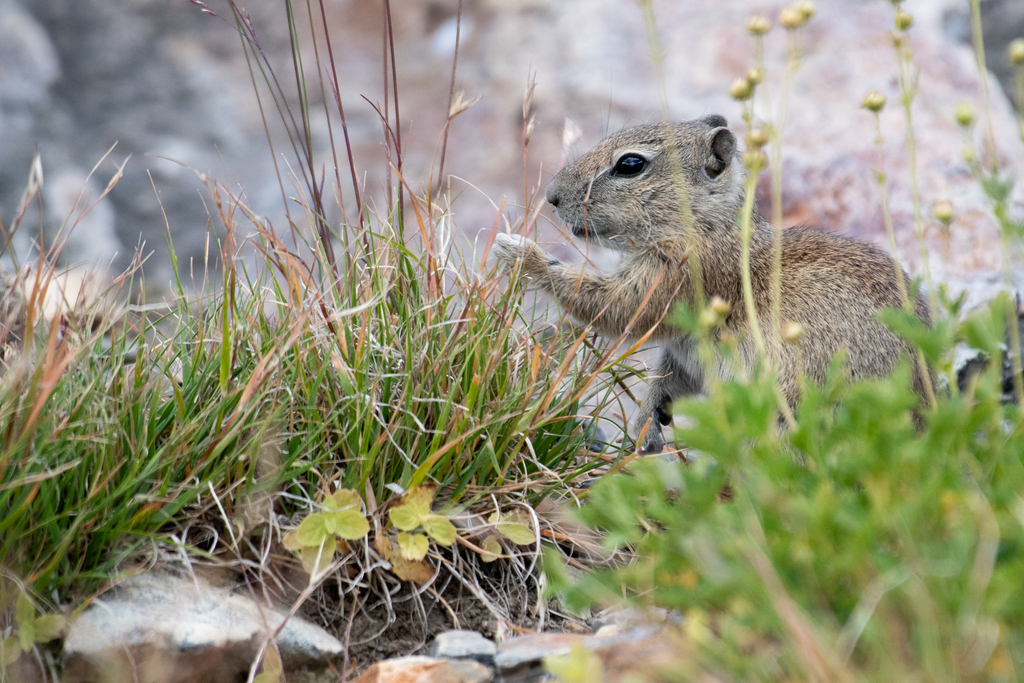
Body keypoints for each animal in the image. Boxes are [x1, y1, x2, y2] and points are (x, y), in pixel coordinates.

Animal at [492, 115, 932, 453]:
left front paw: (516, 250)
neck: (706, 227)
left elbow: (613, 306)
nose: (551, 196)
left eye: (630, 164)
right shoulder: (683, 351)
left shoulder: (665, 284)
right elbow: (664, 378)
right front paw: (646, 426)